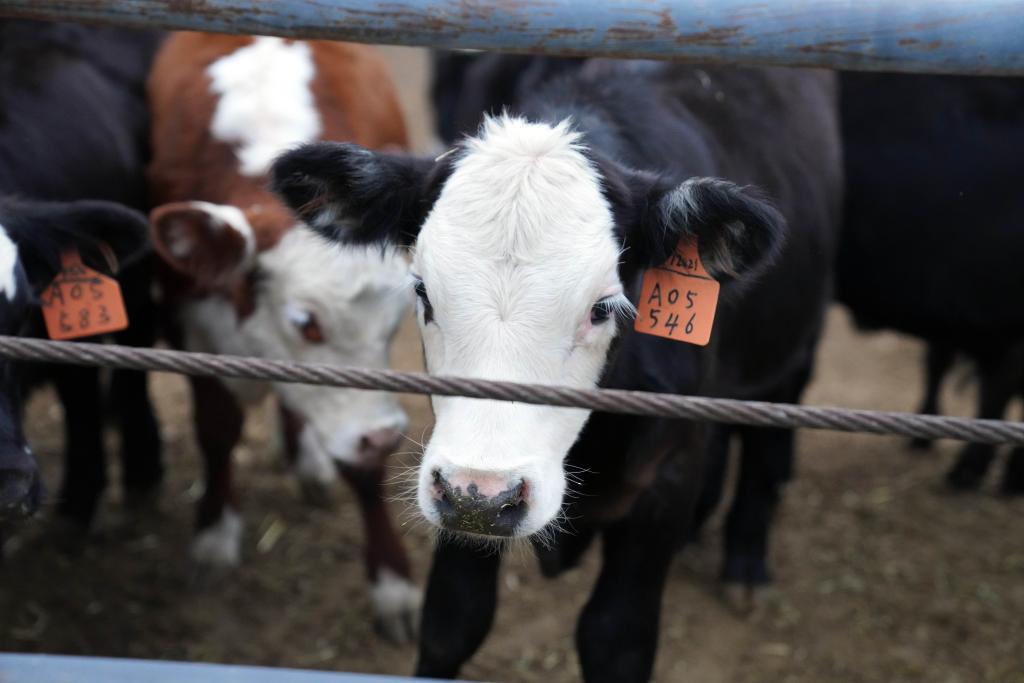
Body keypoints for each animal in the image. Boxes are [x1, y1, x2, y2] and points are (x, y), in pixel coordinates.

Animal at [145, 33, 419, 641]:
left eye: (397, 319)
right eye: (305, 322)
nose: (384, 436)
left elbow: (362, 466)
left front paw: (392, 585)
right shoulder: (187, 317)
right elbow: (217, 430)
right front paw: (214, 534)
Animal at [272, 58, 842, 681]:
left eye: (602, 308)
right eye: (422, 291)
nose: (482, 495)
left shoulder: (665, 477)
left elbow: (615, 638)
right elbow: (452, 620)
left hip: (794, 340)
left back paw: (745, 561)